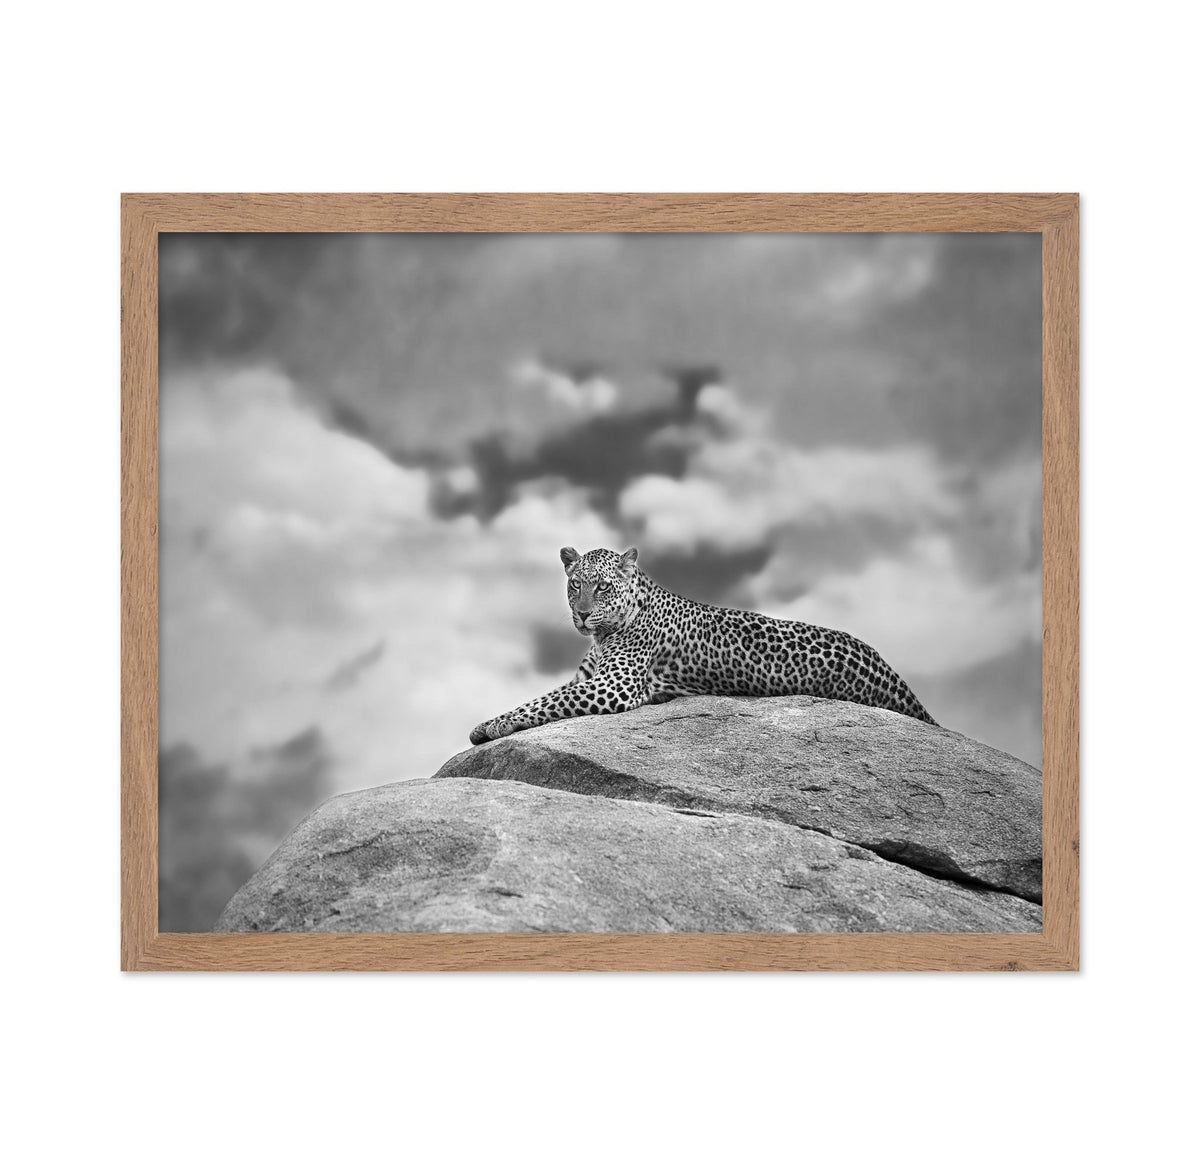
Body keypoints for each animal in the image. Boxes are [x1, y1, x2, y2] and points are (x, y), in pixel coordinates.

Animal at [469, 545, 936, 744]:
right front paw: (488, 723)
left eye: (602, 587)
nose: (582, 615)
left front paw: (496, 725)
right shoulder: (589, 678)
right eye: (575, 586)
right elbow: (543, 696)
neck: (605, 633)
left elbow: (546, 701)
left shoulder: (613, 686)